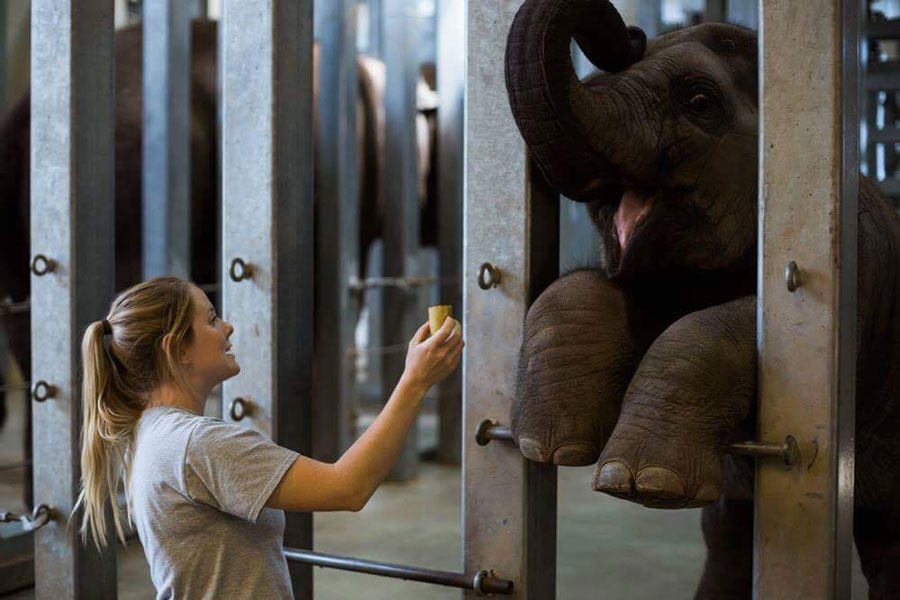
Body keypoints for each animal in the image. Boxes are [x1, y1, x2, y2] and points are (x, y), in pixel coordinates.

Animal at [502, 0, 900, 596]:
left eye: (698, 101)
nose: (629, 31)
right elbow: (596, 288)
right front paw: (548, 447)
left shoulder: (853, 274)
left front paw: (642, 483)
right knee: (729, 530)